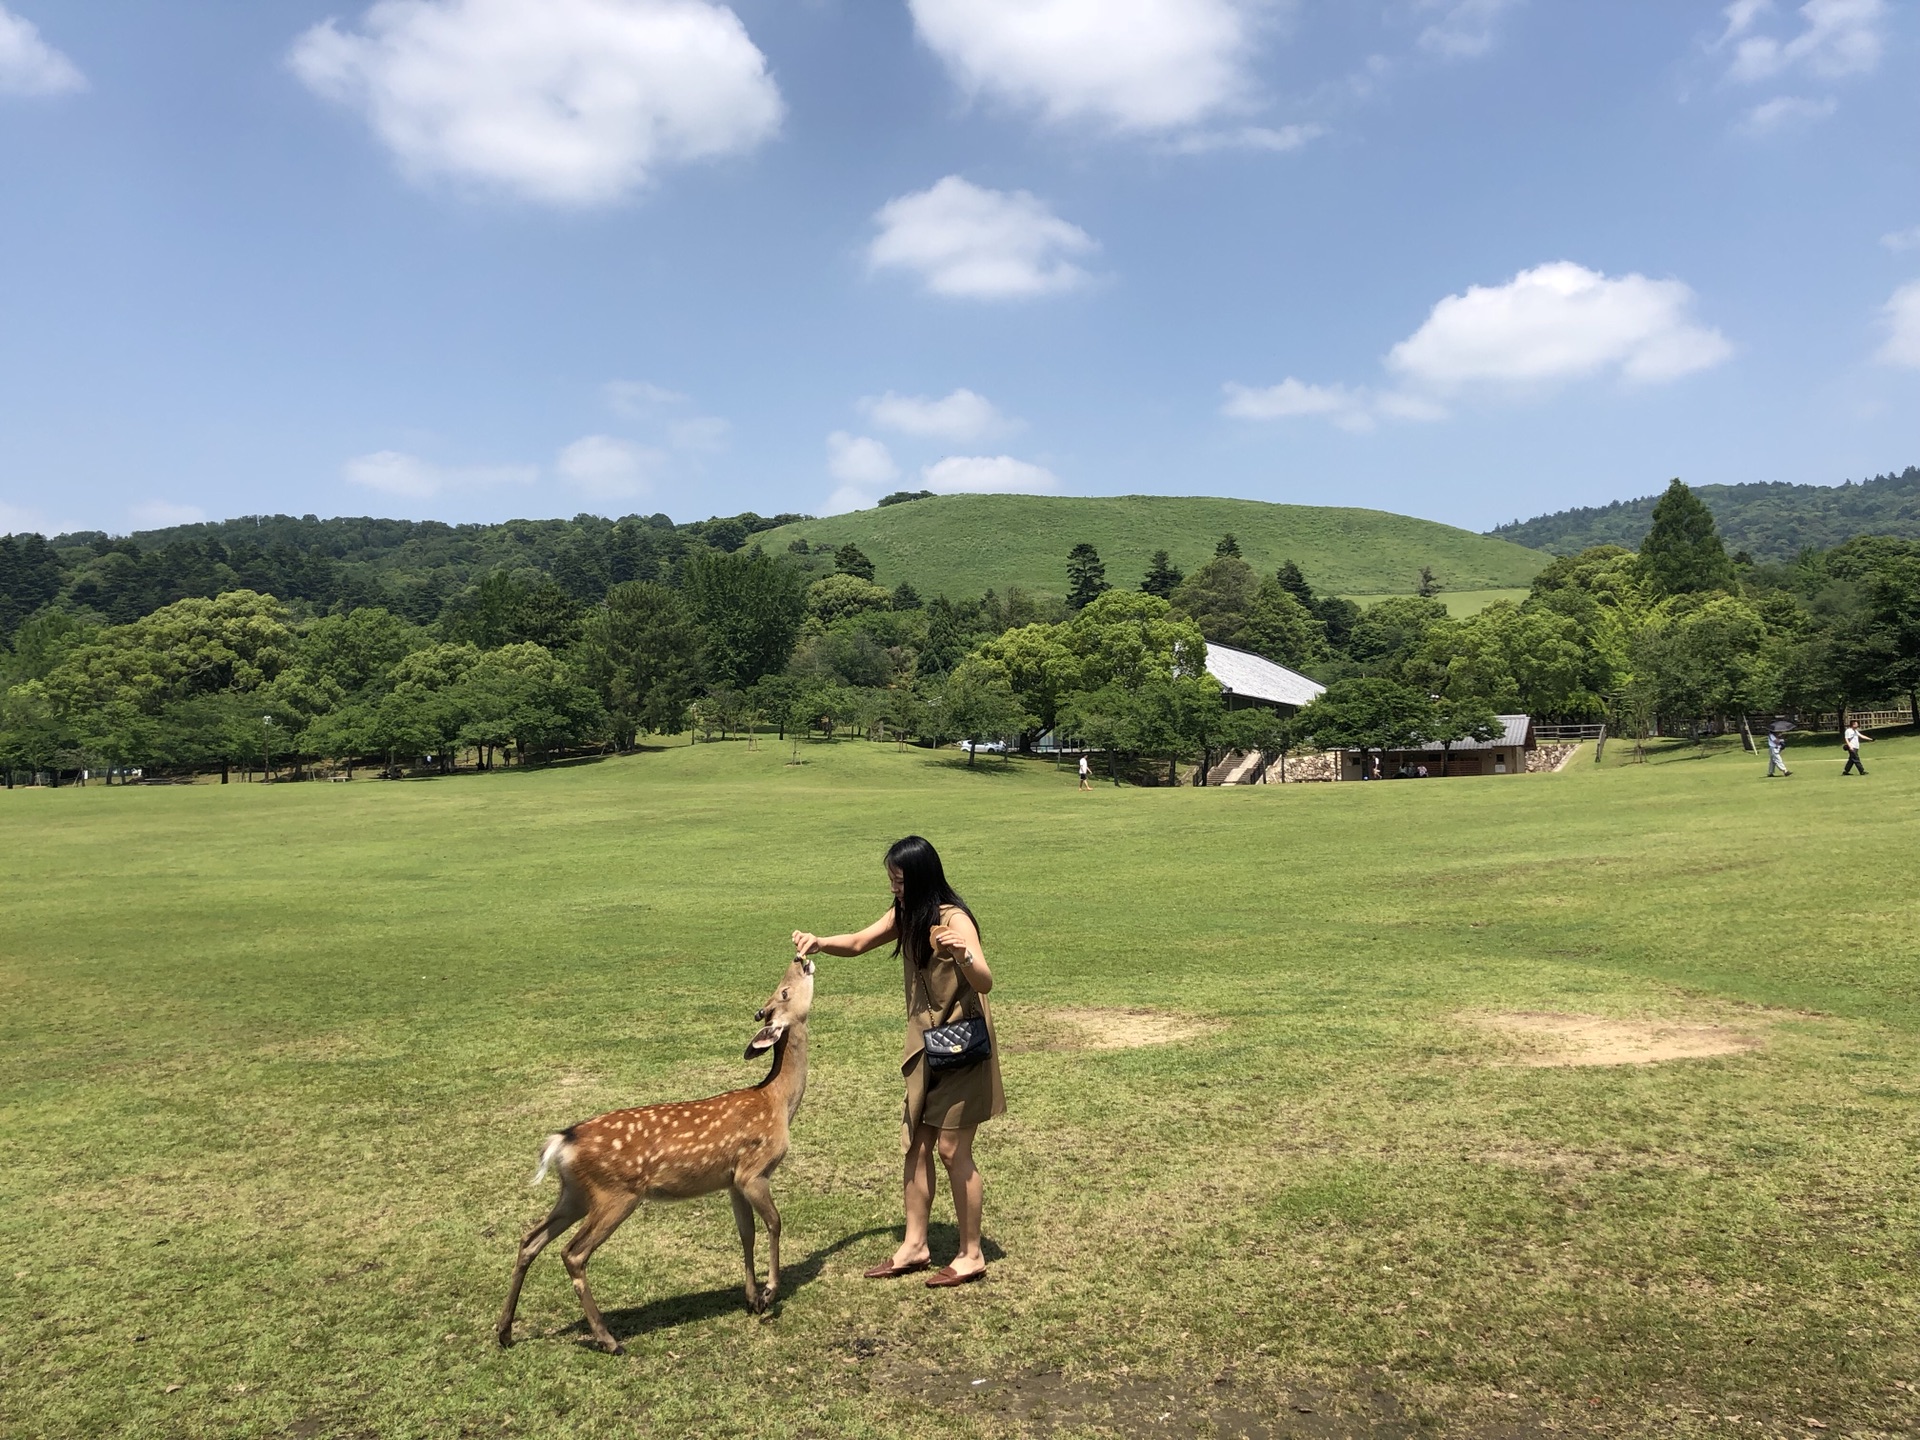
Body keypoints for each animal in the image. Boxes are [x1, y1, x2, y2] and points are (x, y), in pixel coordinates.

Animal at [491, 960, 814, 1351]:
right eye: (784, 991)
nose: (800, 960)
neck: (777, 1102)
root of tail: (564, 1141)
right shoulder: (754, 1171)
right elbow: (775, 1223)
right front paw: (769, 1293)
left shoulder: (732, 1180)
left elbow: (746, 1233)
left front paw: (751, 1299)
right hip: (616, 1193)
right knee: (573, 1252)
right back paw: (608, 1339)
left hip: (574, 1193)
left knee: (529, 1240)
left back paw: (505, 1331)